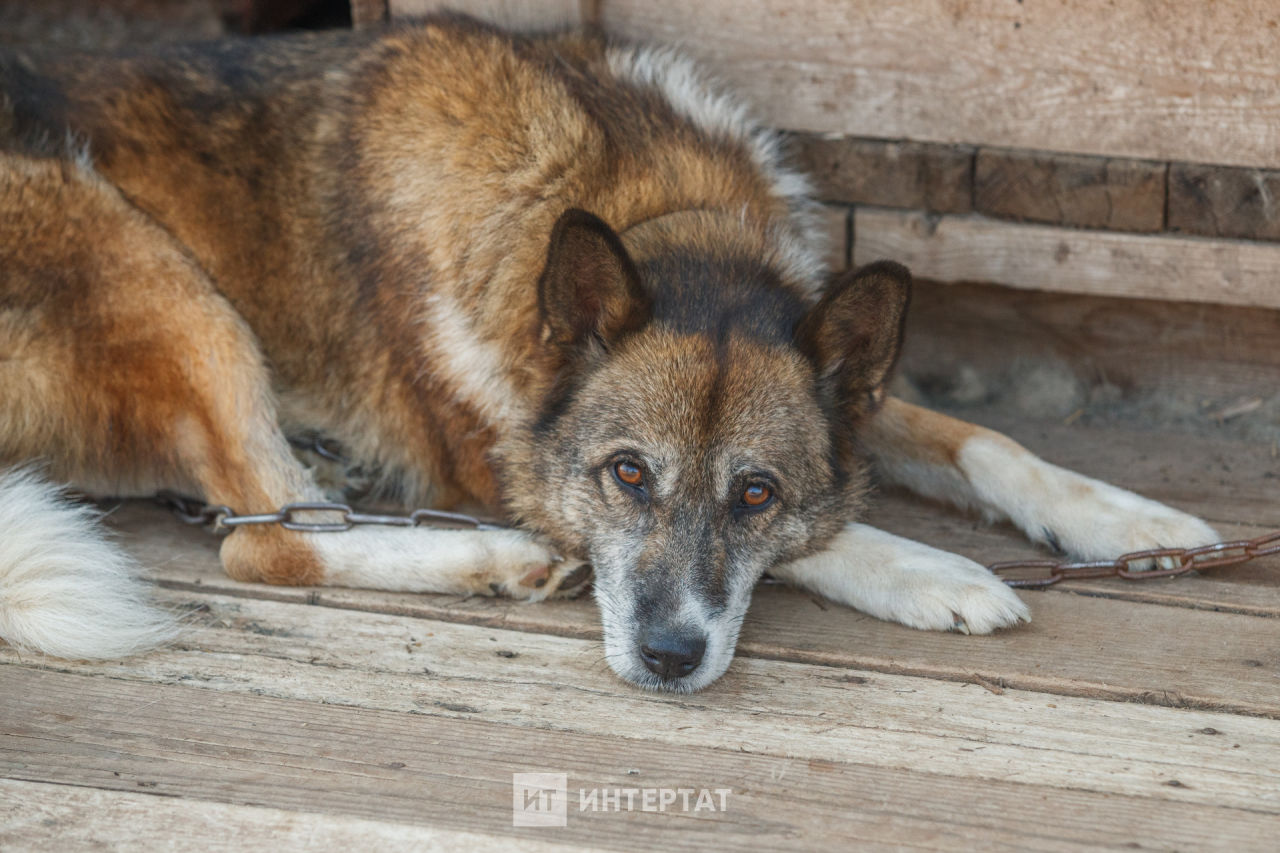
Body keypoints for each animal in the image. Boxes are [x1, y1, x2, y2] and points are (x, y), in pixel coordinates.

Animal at [2, 16, 1218, 686]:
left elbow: (981, 442)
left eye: (754, 490)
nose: (669, 663)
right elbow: (836, 530)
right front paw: (936, 572)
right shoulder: (505, 463)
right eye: (627, 474)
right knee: (267, 542)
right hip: (145, 263)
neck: (647, 209)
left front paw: (1136, 524)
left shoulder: (844, 384)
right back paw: (487, 559)